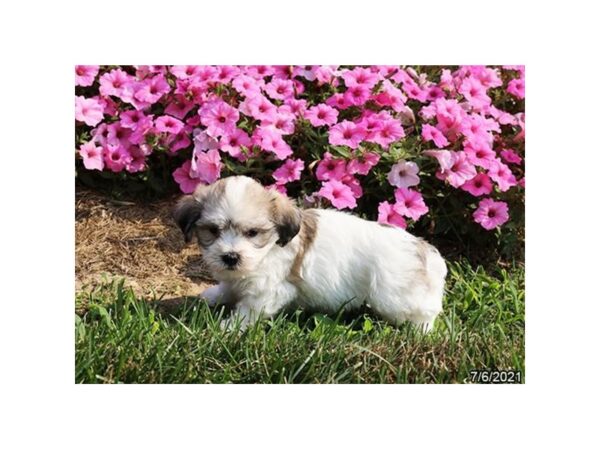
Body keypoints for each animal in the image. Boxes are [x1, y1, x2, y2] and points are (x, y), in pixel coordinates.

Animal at [173, 176, 446, 330]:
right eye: (213, 230)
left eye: (252, 233)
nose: (230, 256)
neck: (268, 249)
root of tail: (422, 248)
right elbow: (230, 287)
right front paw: (214, 295)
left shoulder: (270, 290)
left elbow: (249, 310)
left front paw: (228, 328)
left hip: (396, 297)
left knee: (423, 311)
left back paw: (421, 331)